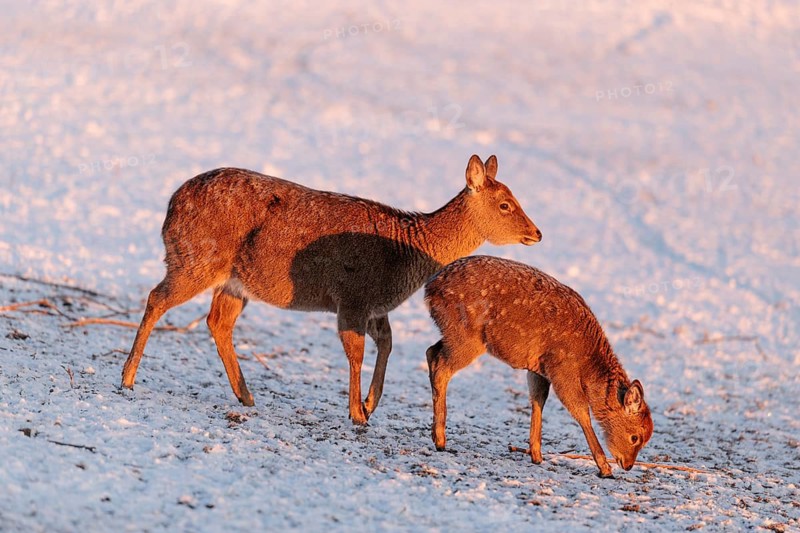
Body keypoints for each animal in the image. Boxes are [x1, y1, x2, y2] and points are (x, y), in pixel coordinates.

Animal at [121, 155, 541, 425]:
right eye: (505, 204)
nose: (536, 232)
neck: (404, 258)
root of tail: (171, 206)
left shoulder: (373, 305)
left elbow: (387, 342)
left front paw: (370, 404)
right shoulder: (352, 296)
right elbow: (355, 351)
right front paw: (357, 414)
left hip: (233, 282)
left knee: (217, 322)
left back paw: (246, 395)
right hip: (196, 260)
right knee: (157, 298)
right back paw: (127, 377)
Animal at [424, 255, 653, 477]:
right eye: (635, 437)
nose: (628, 465)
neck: (587, 364)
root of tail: (430, 289)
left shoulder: (539, 369)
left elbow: (537, 399)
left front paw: (536, 455)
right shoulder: (561, 369)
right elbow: (580, 411)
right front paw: (604, 468)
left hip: (453, 334)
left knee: (431, 351)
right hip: (468, 337)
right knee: (441, 367)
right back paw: (440, 440)